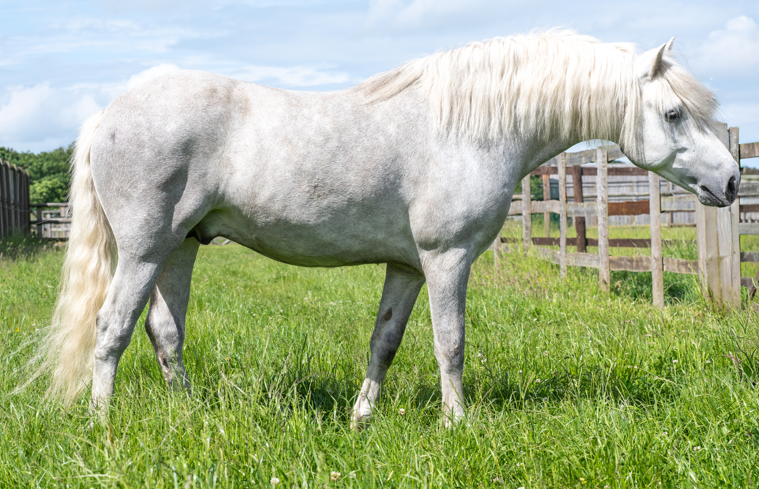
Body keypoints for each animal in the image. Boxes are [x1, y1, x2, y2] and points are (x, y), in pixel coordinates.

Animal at [34, 31, 739, 427]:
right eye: (674, 113)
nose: (732, 181)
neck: (470, 126)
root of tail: (109, 113)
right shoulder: (446, 258)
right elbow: (450, 344)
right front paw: (458, 425)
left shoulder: (406, 266)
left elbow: (386, 343)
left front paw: (361, 419)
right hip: (144, 249)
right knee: (112, 328)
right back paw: (103, 426)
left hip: (179, 249)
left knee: (165, 332)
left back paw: (187, 414)